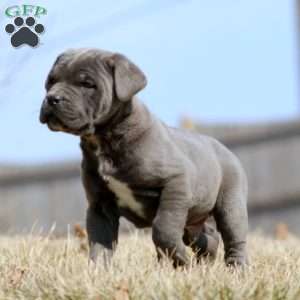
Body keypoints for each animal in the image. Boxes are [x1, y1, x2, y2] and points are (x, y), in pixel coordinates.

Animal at [38, 49, 247, 268]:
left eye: (87, 84)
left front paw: (181, 261)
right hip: (194, 217)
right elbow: (99, 242)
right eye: (51, 81)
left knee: (233, 236)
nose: (52, 98)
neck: (104, 139)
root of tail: (225, 148)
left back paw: (236, 268)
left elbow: (163, 229)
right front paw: (97, 270)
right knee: (208, 237)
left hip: (230, 203)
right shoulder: (100, 205)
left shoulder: (176, 183)